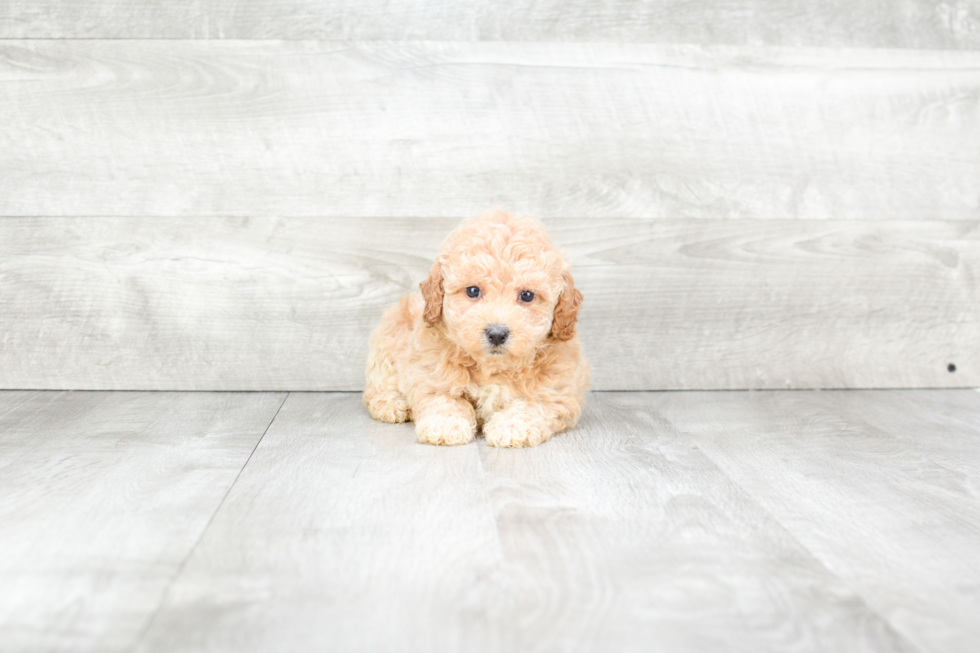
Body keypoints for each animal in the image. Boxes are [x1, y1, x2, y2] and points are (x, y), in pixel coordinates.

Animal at [362, 211, 584, 446]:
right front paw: (445, 425)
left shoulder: (558, 392)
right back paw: (392, 405)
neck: (492, 367)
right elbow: (444, 400)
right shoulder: (428, 376)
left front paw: (511, 427)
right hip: (386, 343)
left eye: (527, 295)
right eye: (472, 291)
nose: (497, 334)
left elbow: (532, 405)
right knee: (379, 384)